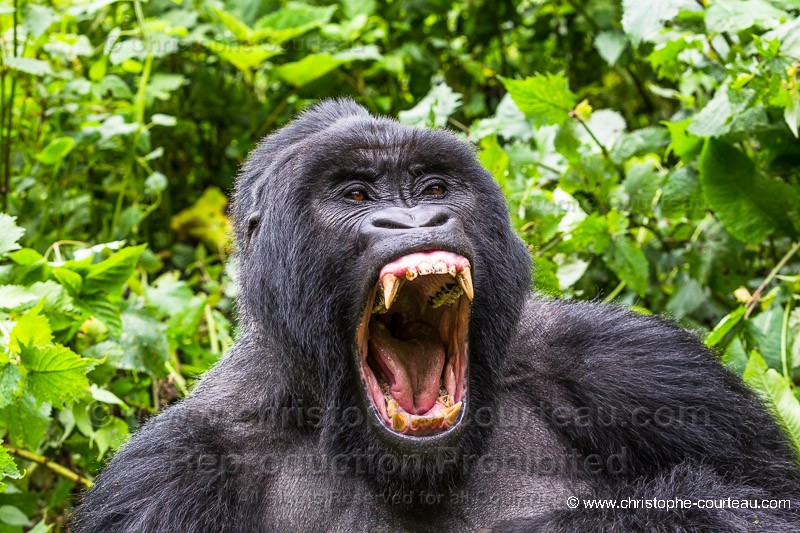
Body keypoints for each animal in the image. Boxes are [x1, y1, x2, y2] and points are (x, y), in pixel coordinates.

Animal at [72, 98, 800, 528]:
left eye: (434, 187)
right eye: (356, 194)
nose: (417, 220)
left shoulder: (633, 366)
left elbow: (760, 498)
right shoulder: (168, 473)